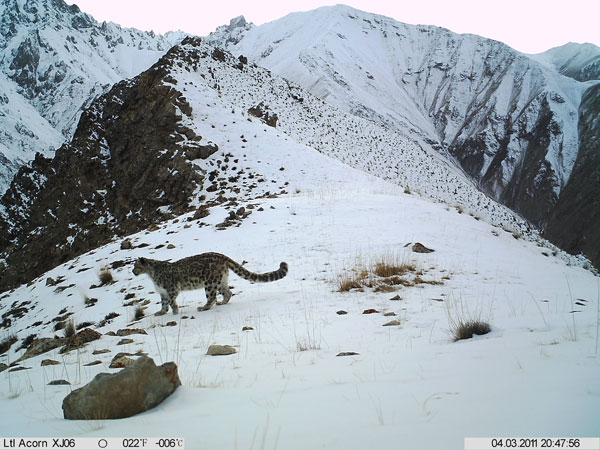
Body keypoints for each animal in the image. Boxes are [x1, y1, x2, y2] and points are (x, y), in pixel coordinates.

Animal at [134, 251, 288, 314]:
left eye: (136, 265)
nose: (132, 271)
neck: (151, 274)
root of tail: (222, 256)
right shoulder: (163, 292)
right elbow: (164, 303)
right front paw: (161, 312)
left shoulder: (171, 289)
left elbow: (171, 301)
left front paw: (175, 311)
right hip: (220, 281)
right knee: (228, 292)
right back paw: (222, 303)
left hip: (210, 283)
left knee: (211, 297)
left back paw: (204, 307)